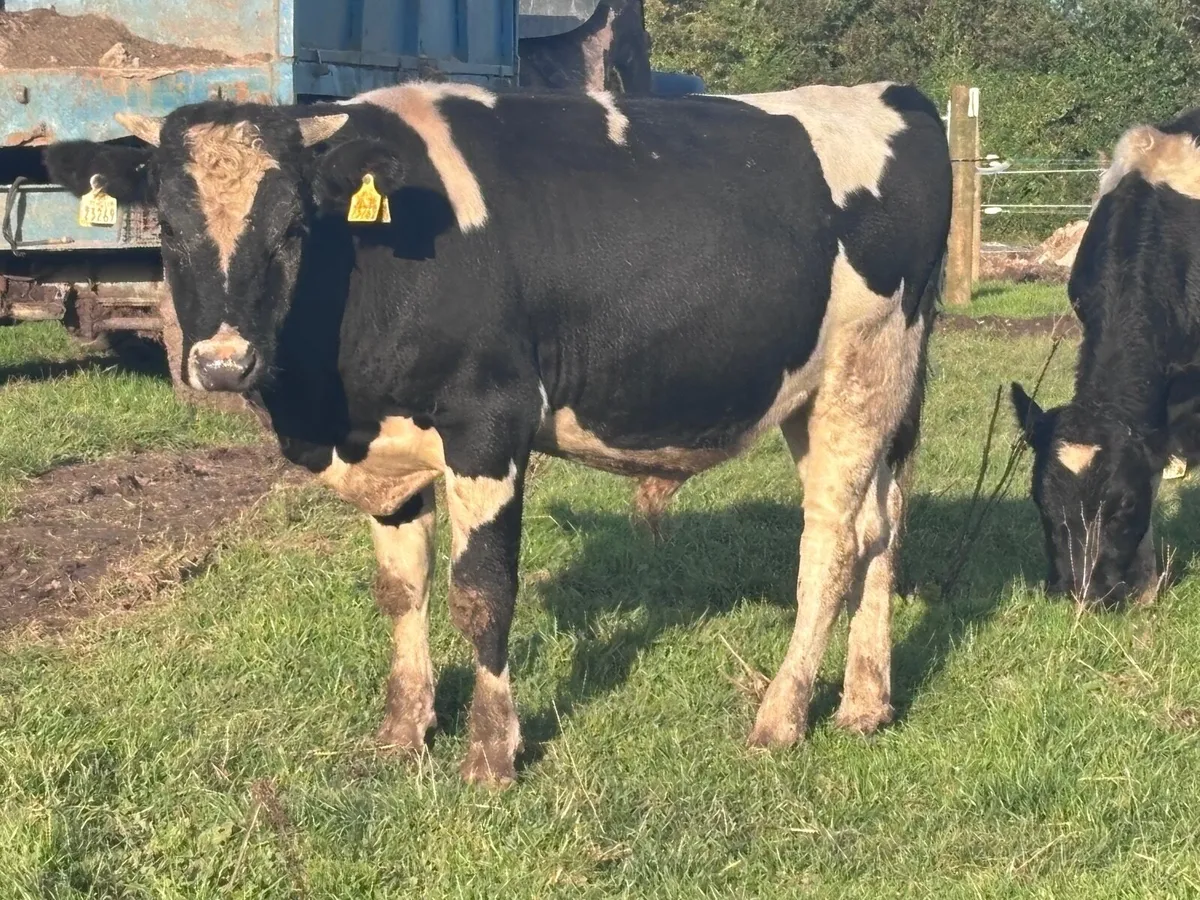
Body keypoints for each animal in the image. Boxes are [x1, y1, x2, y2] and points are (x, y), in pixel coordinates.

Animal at [45, 81, 951, 786]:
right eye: (167, 229)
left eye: (293, 227)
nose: (225, 363)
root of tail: (893, 95)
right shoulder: (390, 447)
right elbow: (401, 588)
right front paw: (403, 730)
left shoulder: (489, 420)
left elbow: (480, 593)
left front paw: (491, 753)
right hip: (843, 398)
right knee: (882, 529)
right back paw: (865, 702)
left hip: (863, 373)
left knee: (831, 545)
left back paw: (780, 716)